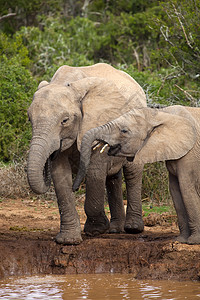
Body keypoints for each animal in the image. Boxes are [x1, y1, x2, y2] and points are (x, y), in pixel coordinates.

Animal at [27, 62, 145, 244]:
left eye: (65, 120)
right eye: (29, 119)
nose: (76, 187)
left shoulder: (99, 122)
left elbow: (95, 171)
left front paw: (96, 230)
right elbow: (60, 176)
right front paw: (68, 240)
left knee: (133, 172)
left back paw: (132, 229)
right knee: (113, 178)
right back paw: (115, 229)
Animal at [73, 105, 200, 244]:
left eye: (124, 131)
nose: (74, 189)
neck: (160, 113)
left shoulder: (190, 153)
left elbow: (186, 188)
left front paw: (193, 241)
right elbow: (175, 190)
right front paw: (181, 240)